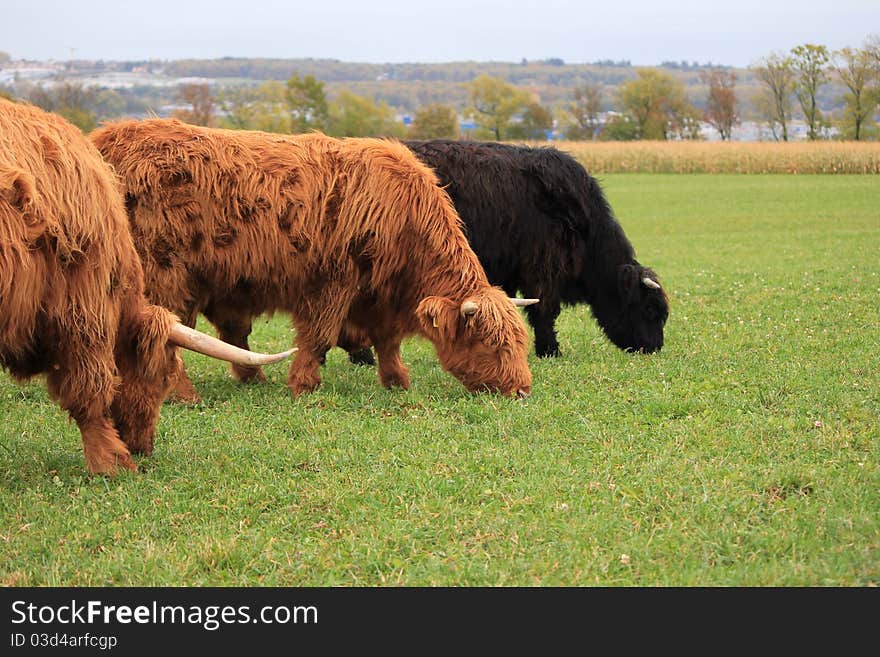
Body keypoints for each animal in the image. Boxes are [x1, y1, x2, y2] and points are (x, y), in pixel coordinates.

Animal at [89, 118, 532, 400]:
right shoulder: (331, 283)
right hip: (164, 274)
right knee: (170, 334)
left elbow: (387, 342)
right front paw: (303, 385)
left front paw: (397, 382)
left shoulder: (378, 296)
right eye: (490, 343)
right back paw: (185, 395)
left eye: (519, 343)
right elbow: (318, 338)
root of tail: (108, 140)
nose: (522, 390)